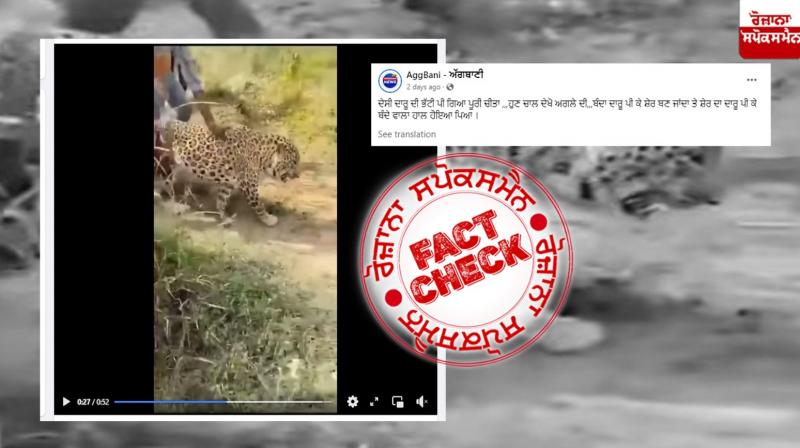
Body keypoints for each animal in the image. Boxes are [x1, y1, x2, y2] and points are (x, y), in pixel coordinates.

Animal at [160, 120, 300, 226]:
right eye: (293, 162)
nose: (298, 175)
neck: (263, 156)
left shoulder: (228, 184)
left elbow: (221, 200)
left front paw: (224, 217)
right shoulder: (248, 185)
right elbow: (258, 205)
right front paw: (268, 219)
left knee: (168, 181)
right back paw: (174, 205)